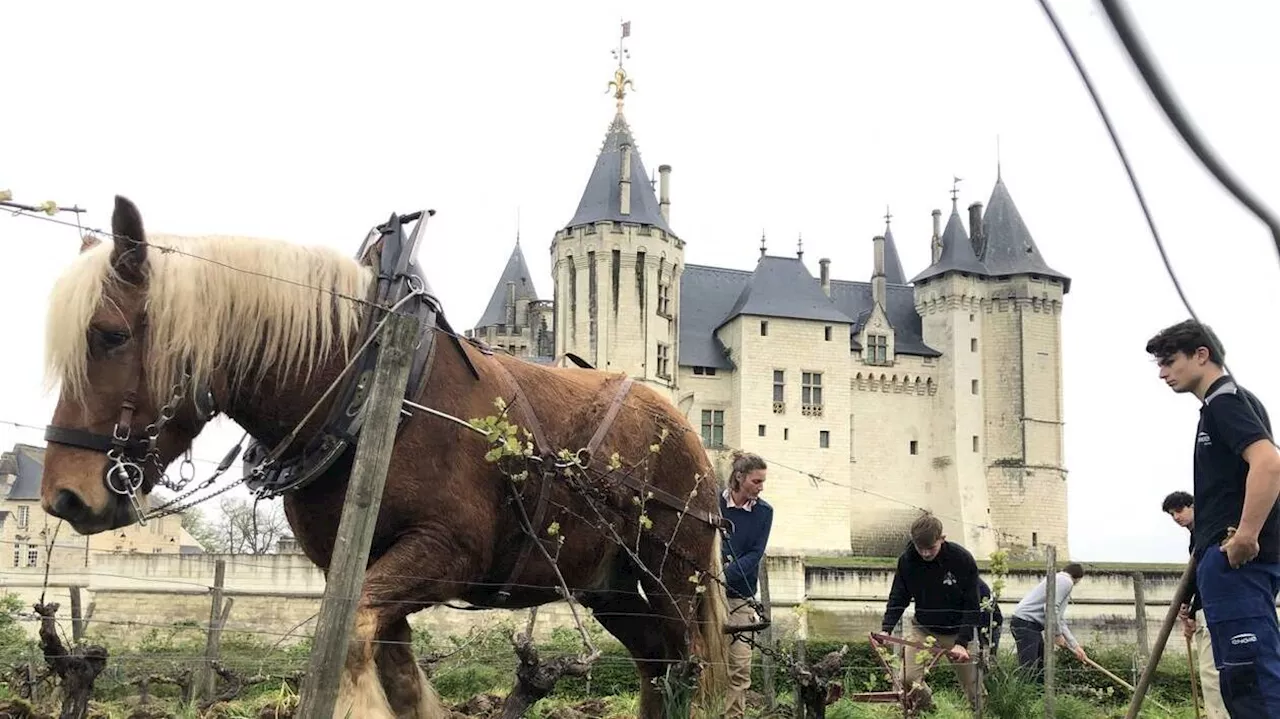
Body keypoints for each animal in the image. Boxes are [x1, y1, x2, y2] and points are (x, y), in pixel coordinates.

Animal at [37, 195, 732, 716]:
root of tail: (684, 427)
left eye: (110, 335)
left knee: (686, 670)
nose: (64, 495)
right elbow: (396, 677)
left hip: (671, 581)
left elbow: (353, 652)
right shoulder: (369, 575)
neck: (369, 388)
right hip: (615, 591)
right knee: (656, 672)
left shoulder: (446, 551)